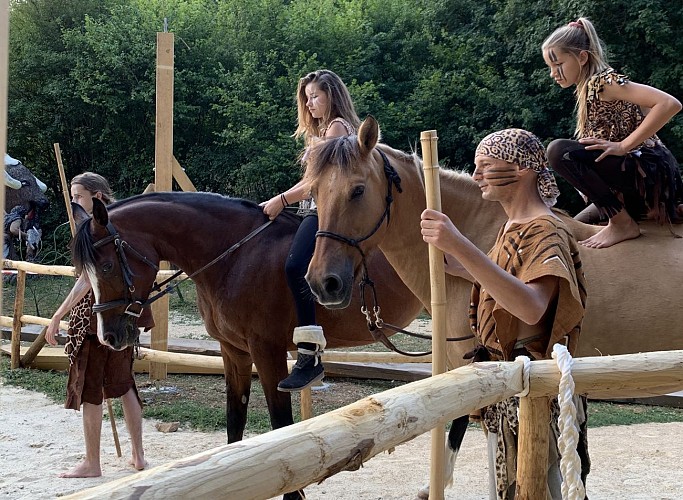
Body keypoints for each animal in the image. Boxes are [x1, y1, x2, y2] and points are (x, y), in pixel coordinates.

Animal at [69, 193, 422, 498]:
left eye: (107, 266)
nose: (108, 336)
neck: (235, 256)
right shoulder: (233, 351)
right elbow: (234, 423)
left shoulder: (266, 352)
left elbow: (282, 427)